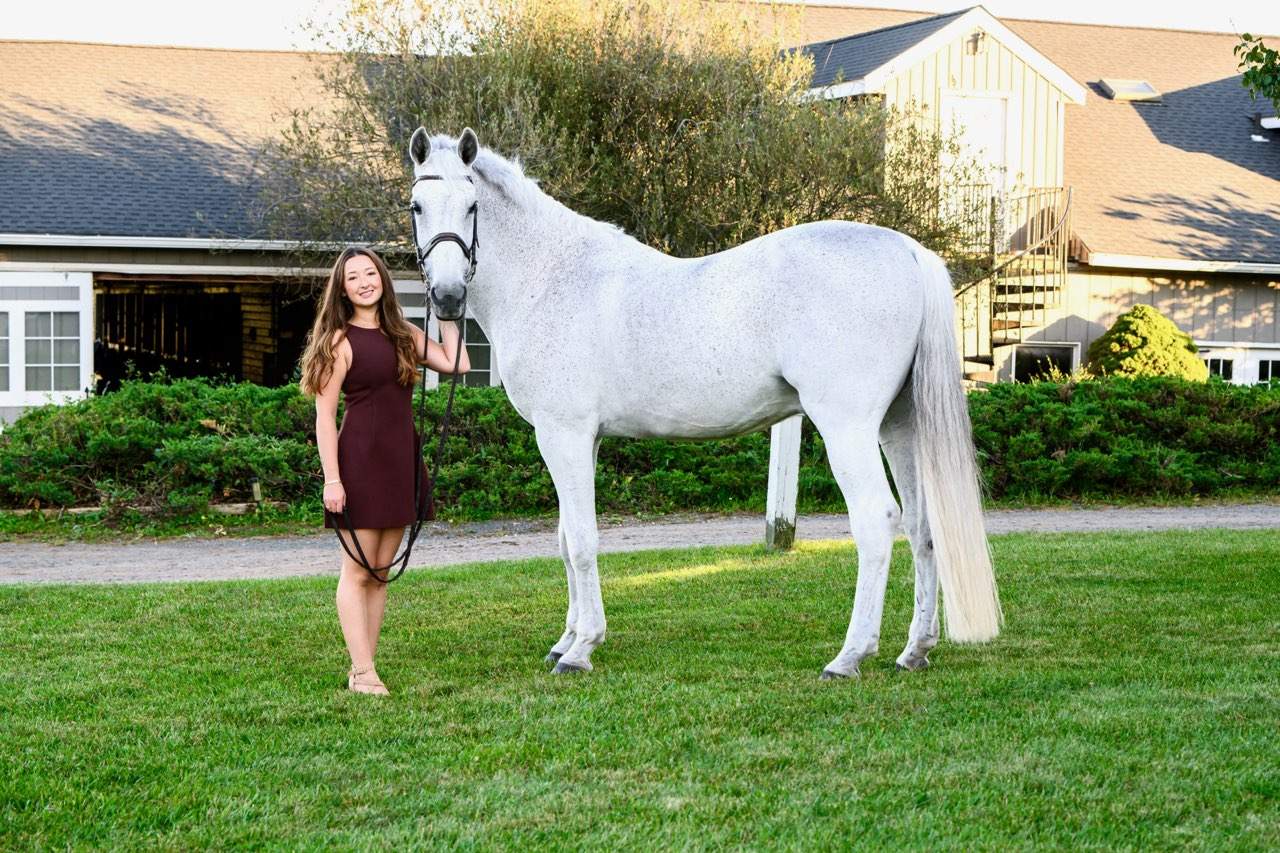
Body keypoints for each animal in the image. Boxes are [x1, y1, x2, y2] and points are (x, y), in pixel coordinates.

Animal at [408, 127, 1002, 678]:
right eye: (417, 206)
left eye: (471, 206)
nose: (447, 298)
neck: (554, 279)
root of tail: (908, 250)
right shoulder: (582, 440)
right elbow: (563, 537)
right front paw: (566, 639)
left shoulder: (563, 434)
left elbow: (580, 540)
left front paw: (580, 650)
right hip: (899, 425)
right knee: (924, 526)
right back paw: (914, 650)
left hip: (847, 428)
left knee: (877, 521)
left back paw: (849, 656)